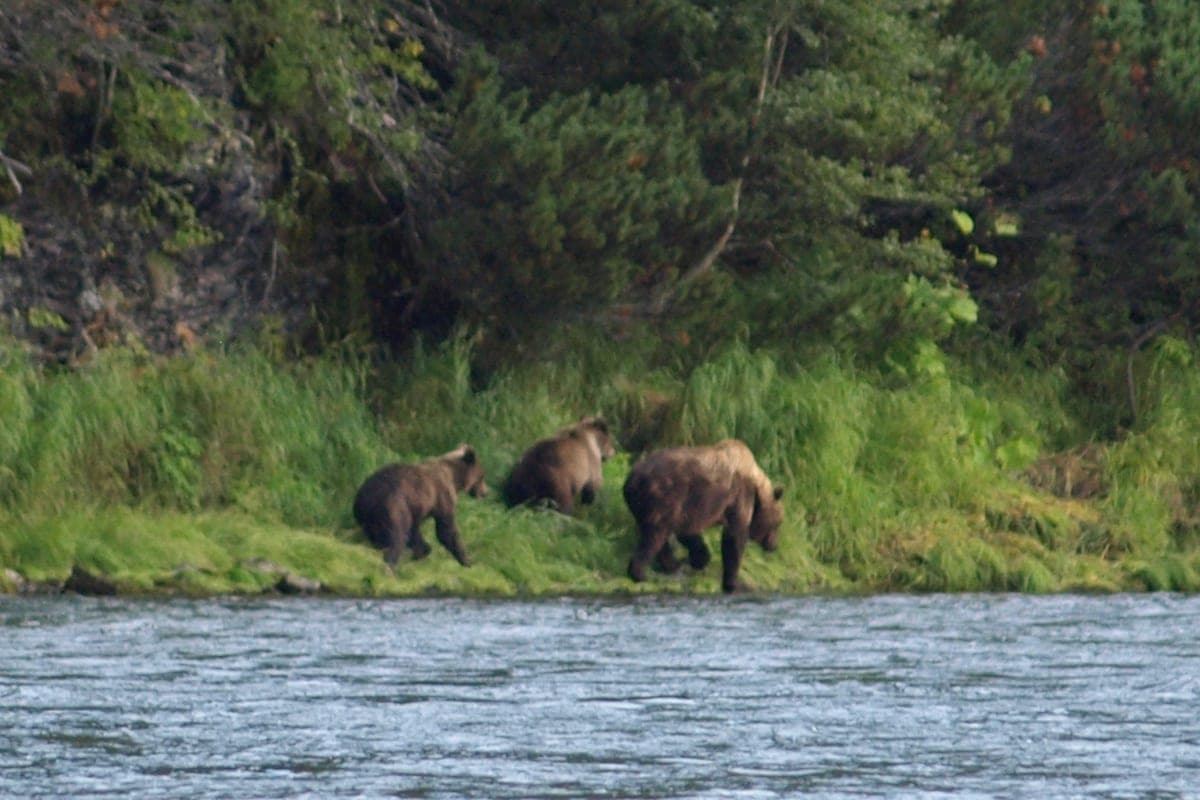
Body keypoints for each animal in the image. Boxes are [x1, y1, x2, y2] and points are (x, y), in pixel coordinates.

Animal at [352, 444, 490, 567]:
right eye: (482, 476)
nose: (486, 492)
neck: (455, 478)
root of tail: (366, 494)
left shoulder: (416, 508)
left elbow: (415, 530)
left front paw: (421, 550)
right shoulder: (442, 495)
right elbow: (446, 529)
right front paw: (467, 561)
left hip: (366, 515)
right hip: (393, 504)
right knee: (397, 536)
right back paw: (390, 564)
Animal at [623, 439, 783, 593]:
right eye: (778, 523)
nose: (774, 545)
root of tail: (631, 480)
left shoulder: (687, 507)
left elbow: (688, 532)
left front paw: (699, 559)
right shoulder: (737, 496)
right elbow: (734, 537)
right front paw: (733, 583)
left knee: (658, 536)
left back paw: (671, 565)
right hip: (659, 496)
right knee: (653, 537)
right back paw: (640, 573)